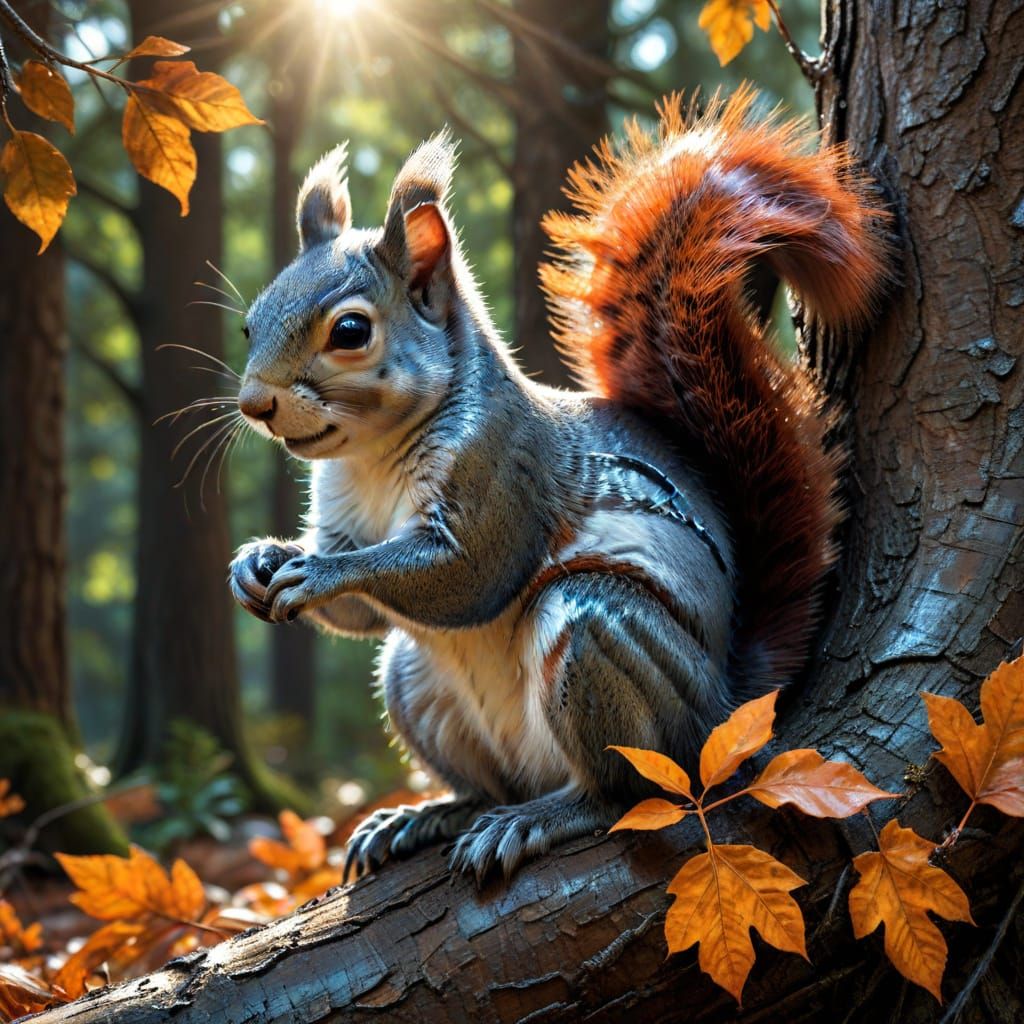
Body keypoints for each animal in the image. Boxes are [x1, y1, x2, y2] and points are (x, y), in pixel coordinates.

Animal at [229, 86, 889, 883]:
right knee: (487, 787)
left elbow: (468, 573)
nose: (254, 404)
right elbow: (358, 611)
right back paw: (427, 815)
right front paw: (258, 560)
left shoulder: (505, 467)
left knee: (624, 791)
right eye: (251, 322)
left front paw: (320, 574)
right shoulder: (341, 511)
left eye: (351, 331)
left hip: (600, 637)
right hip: (414, 680)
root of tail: (729, 708)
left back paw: (543, 817)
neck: (373, 455)